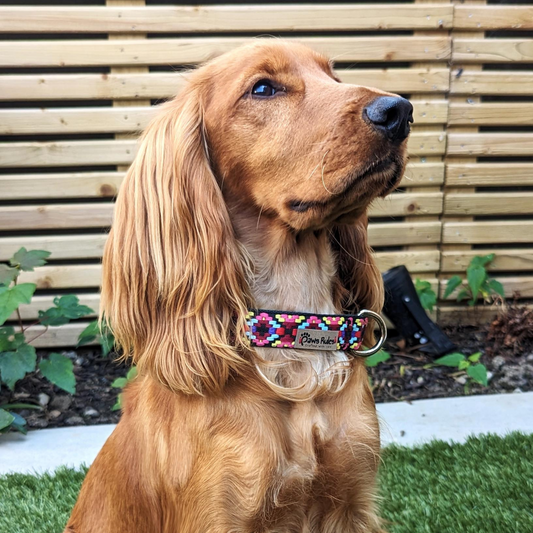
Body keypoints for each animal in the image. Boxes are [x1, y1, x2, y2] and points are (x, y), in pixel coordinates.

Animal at [64, 39, 410, 528]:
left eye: (334, 78)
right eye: (263, 88)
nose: (399, 111)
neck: (295, 340)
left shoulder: (351, 500)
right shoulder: (220, 514)